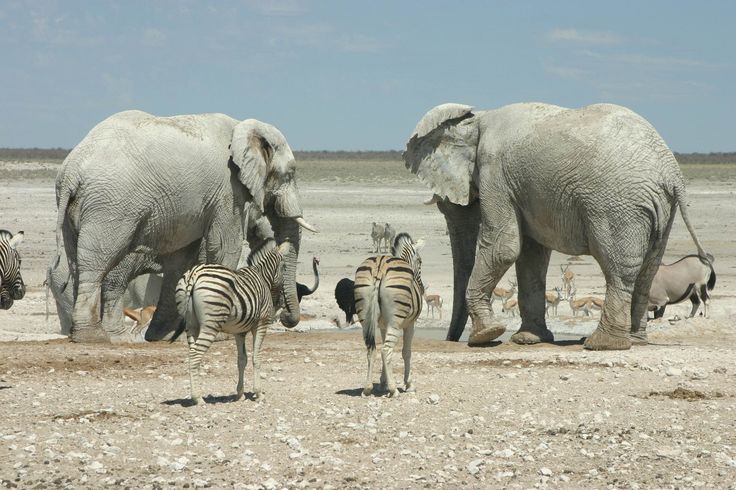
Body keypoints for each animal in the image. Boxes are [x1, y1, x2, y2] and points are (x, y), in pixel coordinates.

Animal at [53, 110, 317, 343]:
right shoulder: (228, 190)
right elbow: (224, 247)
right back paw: (95, 337)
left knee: (77, 263)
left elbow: (182, 258)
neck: (242, 126)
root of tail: (70, 171)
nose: (286, 317)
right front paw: (222, 333)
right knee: (96, 263)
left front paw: (163, 335)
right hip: (110, 206)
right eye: (289, 174)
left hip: (77, 209)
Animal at [171, 239, 293, 405]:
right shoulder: (261, 323)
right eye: (284, 267)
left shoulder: (239, 331)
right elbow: (256, 357)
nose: (281, 302)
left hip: (191, 325)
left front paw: (239, 394)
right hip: (211, 323)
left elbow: (242, 359)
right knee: (195, 356)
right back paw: (198, 398)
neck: (263, 276)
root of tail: (194, 274)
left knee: (191, 353)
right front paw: (258, 393)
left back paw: (195, 395)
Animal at [354, 232, 425, 397]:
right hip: (395, 321)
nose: (423, 289)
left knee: (372, 349)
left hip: (365, 317)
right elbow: (406, 352)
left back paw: (367, 388)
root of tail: (379, 267)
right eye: (420, 261)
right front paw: (408, 384)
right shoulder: (410, 325)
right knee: (386, 350)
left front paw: (382, 383)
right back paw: (394, 390)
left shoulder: (382, 325)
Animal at [404, 102, 708, 350]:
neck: (478, 119)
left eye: (445, 204)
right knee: (648, 270)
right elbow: (531, 255)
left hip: (618, 206)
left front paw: (485, 336)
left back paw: (602, 344)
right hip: (660, 210)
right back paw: (635, 340)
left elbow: (505, 248)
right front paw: (528, 339)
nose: (450, 341)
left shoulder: (495, 172)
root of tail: (672, 173)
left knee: (619, 270)